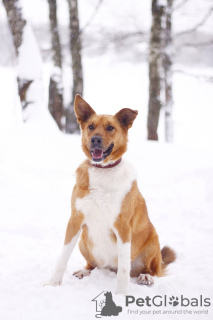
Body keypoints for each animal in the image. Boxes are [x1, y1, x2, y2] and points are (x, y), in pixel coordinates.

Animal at [45, 94, 176, 296]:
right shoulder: (75, 220)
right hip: (83, 241)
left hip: (153, 241)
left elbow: (124, 268)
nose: (96, 140)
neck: (103, 170)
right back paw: (84, 272)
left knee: (151, 270)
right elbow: (63, 256)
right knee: (94, 266)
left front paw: (121, 295)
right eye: (91, 126)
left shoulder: (122, 226)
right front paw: (52, 284)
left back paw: (146, 277)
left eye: (110, 128)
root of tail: (108, 267)